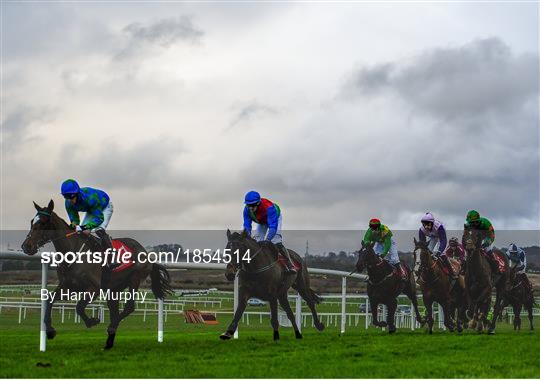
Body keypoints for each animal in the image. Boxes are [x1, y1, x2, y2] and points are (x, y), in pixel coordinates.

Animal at [20, 200, 173, 348]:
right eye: (32, 221)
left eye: (43, 223)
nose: (26, 246)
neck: (73, 251)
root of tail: (146, 253)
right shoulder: (68, 286)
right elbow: (50, 300)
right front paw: (50, 330)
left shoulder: (94, 288)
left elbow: (79, 307)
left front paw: (92, 321)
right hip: (114, 288)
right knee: (114, 309)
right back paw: (110, 339)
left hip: (134, 279)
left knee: (129, 307)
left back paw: (111, 327)